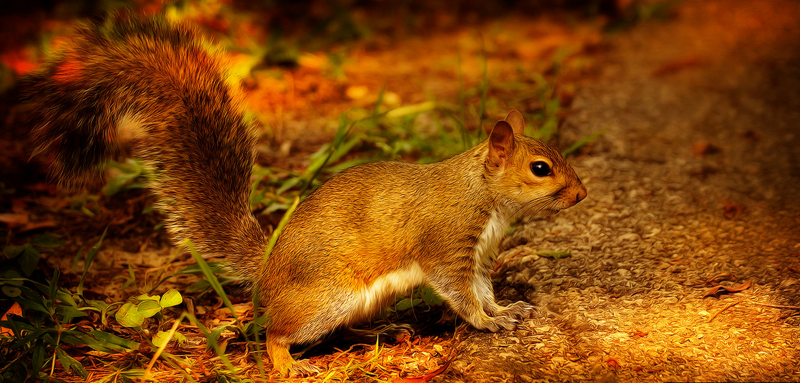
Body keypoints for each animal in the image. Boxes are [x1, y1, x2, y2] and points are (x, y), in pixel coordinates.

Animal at [25, 13, 588, 376]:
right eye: (540, 169)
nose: (582, 195)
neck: (486, 196)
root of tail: (268, 269)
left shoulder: (478, 256)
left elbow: (483, 289)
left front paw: (507, 309)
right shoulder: (447, 245)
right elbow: (462, 295)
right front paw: (489, 323)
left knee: (332, 332)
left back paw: (379, 334)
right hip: (325, 297)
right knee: (276, 331)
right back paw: (289, 364)